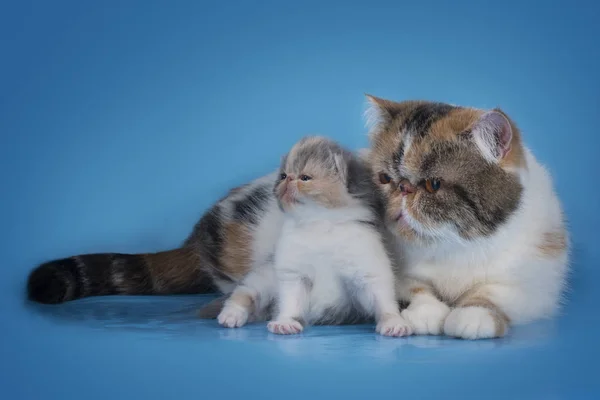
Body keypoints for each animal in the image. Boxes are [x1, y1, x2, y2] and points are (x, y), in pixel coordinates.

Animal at [218, 136, 414, 336]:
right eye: (283, 176)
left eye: (305, 178)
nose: (288, 179)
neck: (319, 225)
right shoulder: (294, 274)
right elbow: (291, 301)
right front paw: (286, 322)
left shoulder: (367, 269)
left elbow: (382, 300)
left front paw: (393, 322)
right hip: (265, 278)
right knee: (245, 293)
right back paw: (231, 315)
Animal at [364, 95, 568, 340]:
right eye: (384, 178)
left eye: (433, 185)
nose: (403, 188)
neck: (454, 244)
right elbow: (413, 288)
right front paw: (425, 313)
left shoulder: (537, 282)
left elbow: (494, 292)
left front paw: (472, 316)